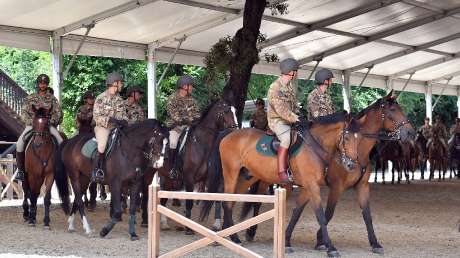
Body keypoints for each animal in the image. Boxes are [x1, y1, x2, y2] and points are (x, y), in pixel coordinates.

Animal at [149, 99, 239, 234]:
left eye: (235, 111)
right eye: (226, 111)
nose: (235, 130)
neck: (203, 143)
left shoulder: (212, 178)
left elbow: (217, 199)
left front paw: (217, 225)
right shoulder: (189, 178)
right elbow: (189, 202)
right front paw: (188, 228)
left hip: (170, 180)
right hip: (164, 177)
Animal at [201, 113, 362, 258]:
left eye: (359, 139)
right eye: (346, 138)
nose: (351, 165)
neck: (314, 145)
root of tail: (229, 133)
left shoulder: (307, 188)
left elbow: (296, 214)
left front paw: (286, 242)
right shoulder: (312, 187)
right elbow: (321, 217)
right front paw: (331, 248)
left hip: (244, 178)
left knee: (231, 200)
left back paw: (226, 234)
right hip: (231, 174)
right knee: (227, 201)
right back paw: (233, 237)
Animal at [237, 91, 416, 255]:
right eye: (393, 110)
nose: (411, 133)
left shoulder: (362, 186)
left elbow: (367, 215)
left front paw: (375, 243)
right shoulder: (336, 186)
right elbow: (328, 213)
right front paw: (321, 241)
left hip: (285, 184)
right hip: (263, 179)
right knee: (257, 201)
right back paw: (250, 232)